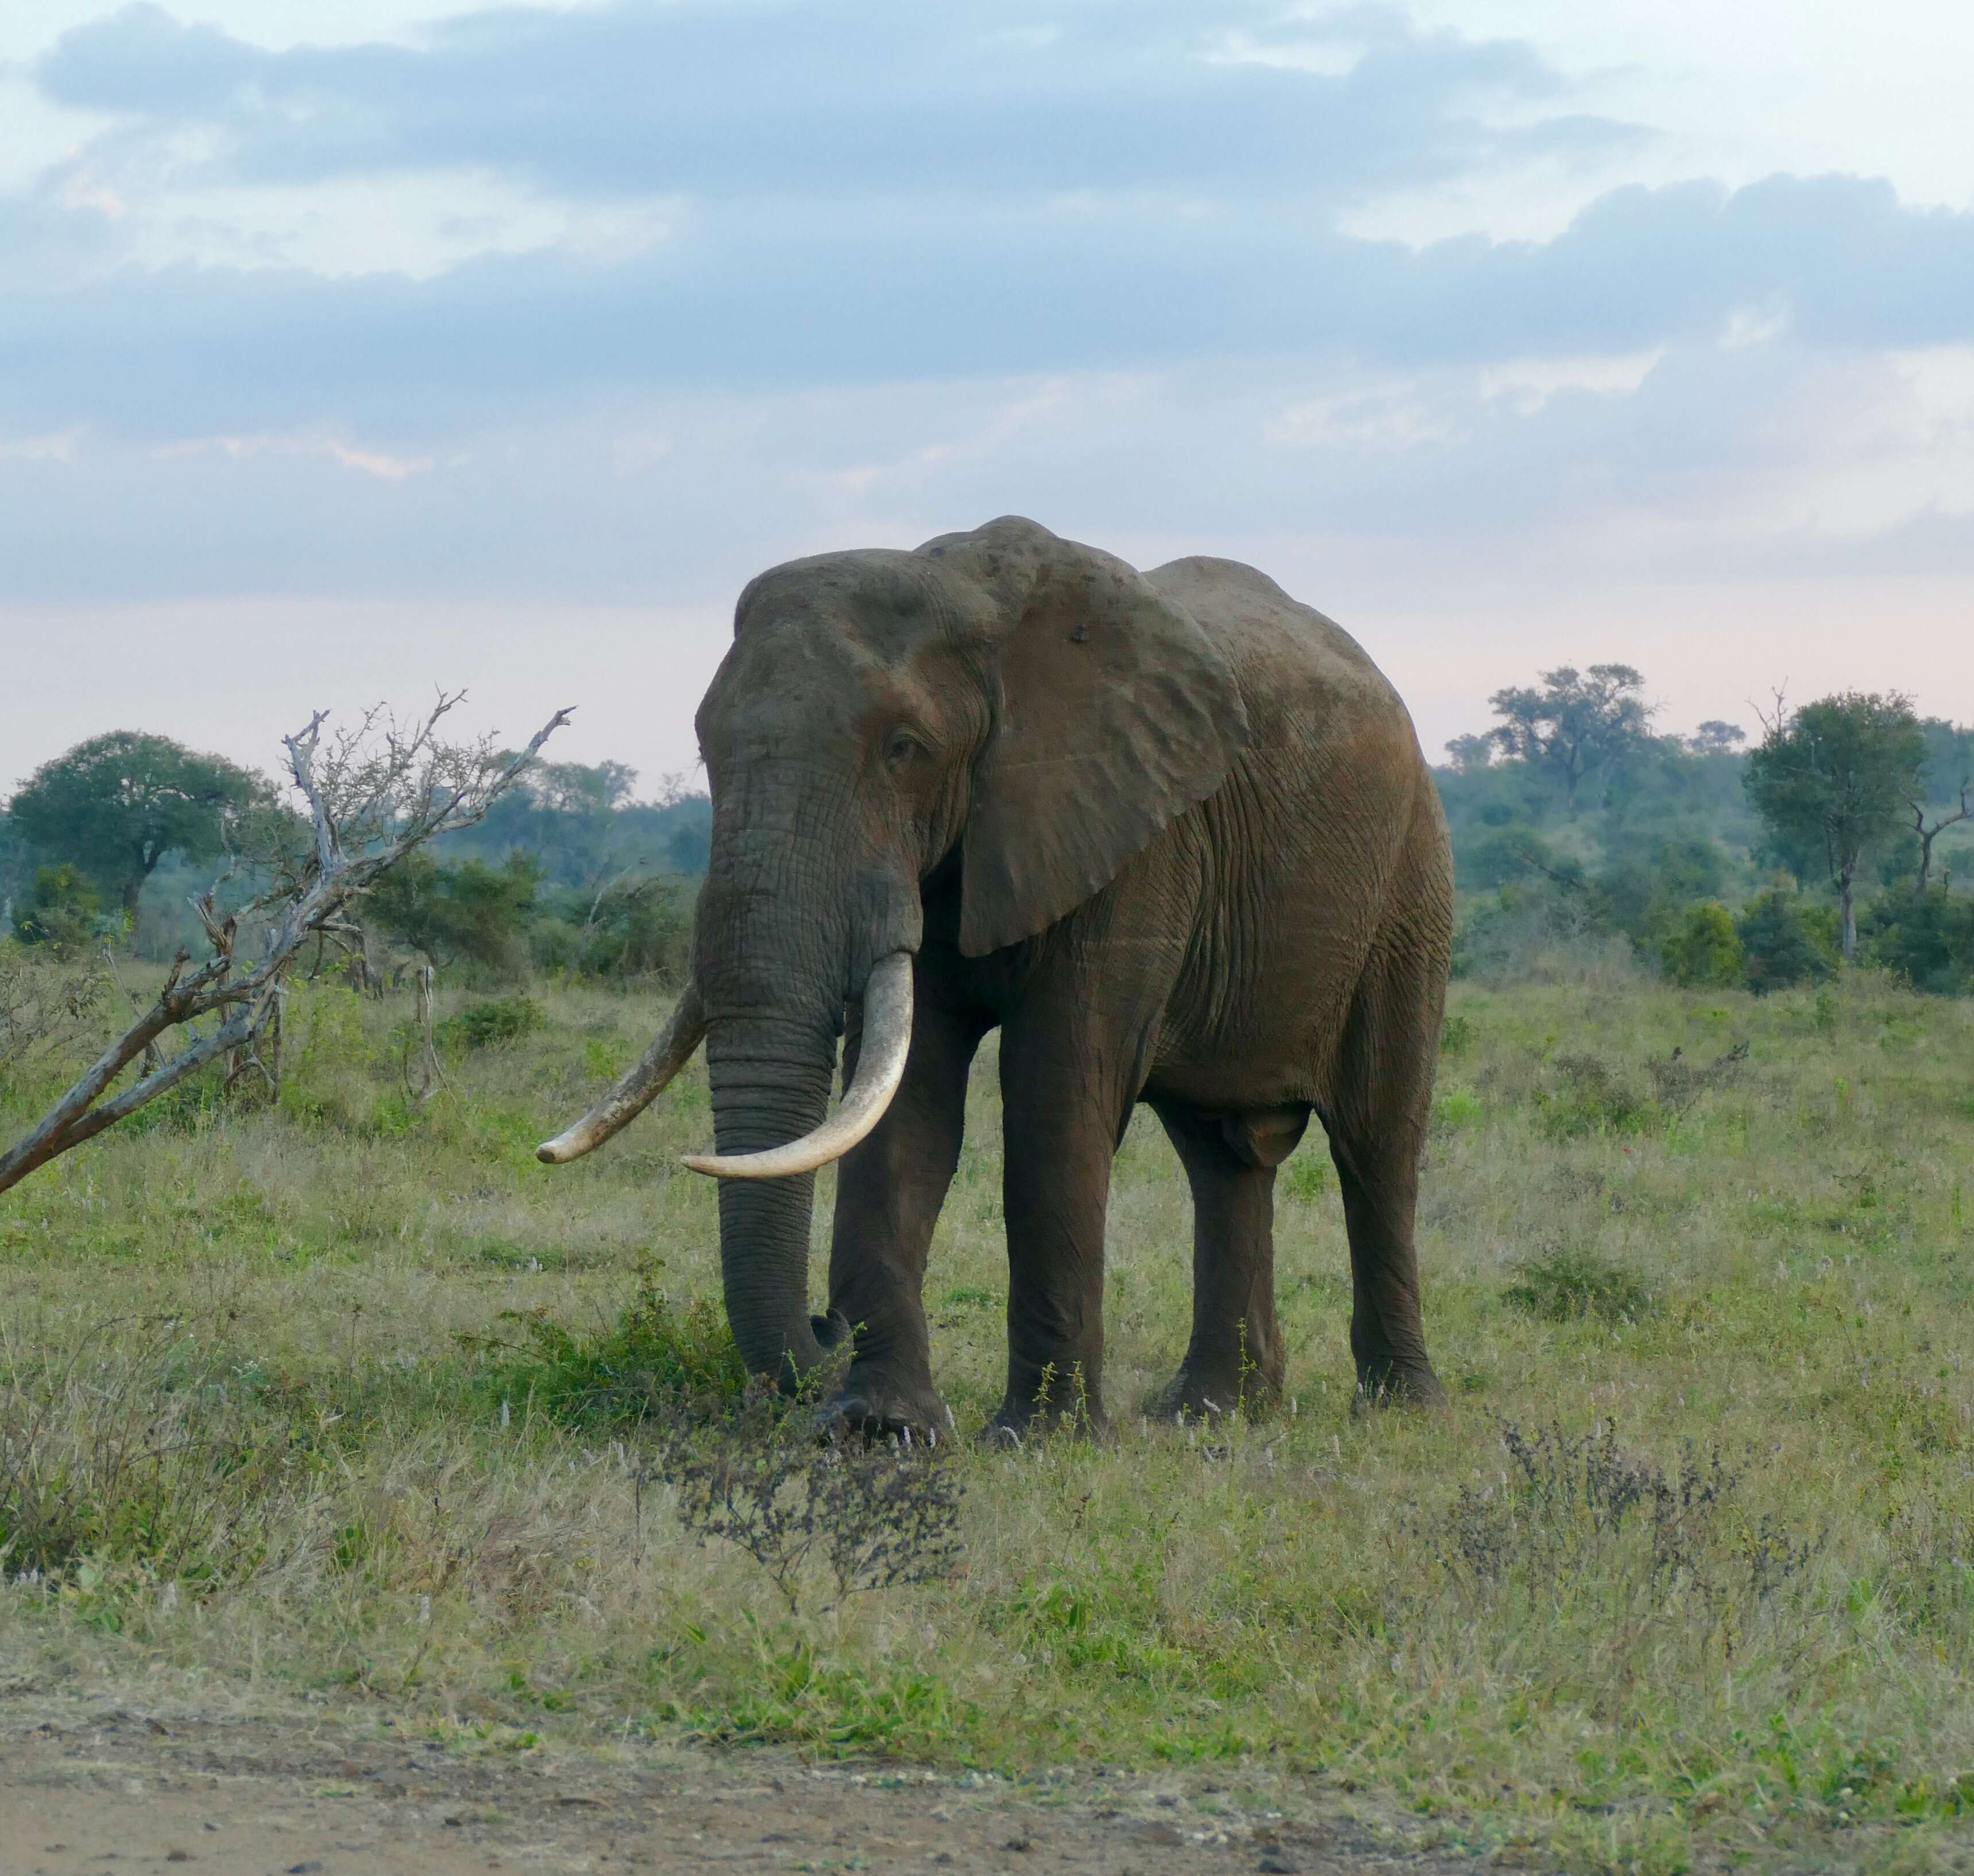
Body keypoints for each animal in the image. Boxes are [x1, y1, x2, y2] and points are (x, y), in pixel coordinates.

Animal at [540, 513, 1453, 1437]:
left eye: (904, 748)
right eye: (704, 747)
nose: (824, 1326)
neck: (971, 597)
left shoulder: (1132, 835)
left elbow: (1056, 1090)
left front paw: (1039, 1439)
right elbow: (907, 1103)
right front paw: (881, 1429)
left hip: (1409, 881)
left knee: (1376, 1140)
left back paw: (1399, 1407)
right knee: (1223, 1154)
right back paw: (1210, 1413)